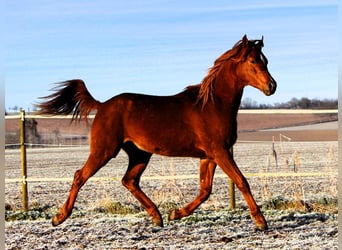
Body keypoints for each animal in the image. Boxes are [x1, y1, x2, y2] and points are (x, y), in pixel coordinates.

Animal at [37, 34, 276, 230]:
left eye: (266, 61)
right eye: (253, 61)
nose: (272, 86)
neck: (212, 105)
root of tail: (102, 105)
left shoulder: (209, 156)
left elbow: (204, 190)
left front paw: (175, 213)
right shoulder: (220, 151)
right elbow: (241, 181)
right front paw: (260, 221)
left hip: (140, 154)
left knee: (129, 181)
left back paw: (157, 216)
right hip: (104, 150)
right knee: (80, 176)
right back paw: (59, 217)